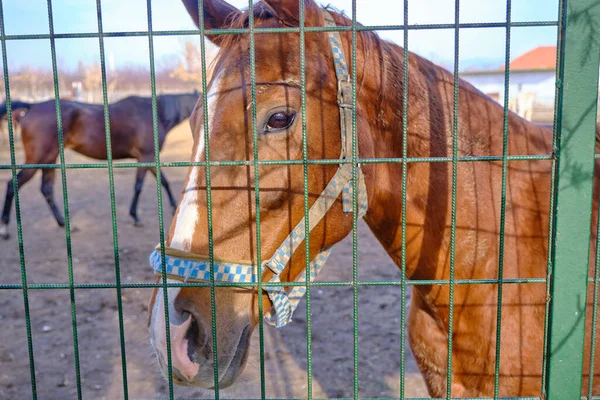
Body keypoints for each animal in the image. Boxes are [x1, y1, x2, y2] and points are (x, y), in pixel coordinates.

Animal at [0, 92, 199, 239]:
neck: (156, 113)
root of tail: (32, 107)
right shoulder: (146, 156)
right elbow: (139, 186)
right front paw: (135, 216)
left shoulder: (148, 158)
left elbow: (164, 182)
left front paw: (173, 207)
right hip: (38, 159)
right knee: (12, 185)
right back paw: (5, 228)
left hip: (50, 160)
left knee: (46, 189)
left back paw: (65, 224)